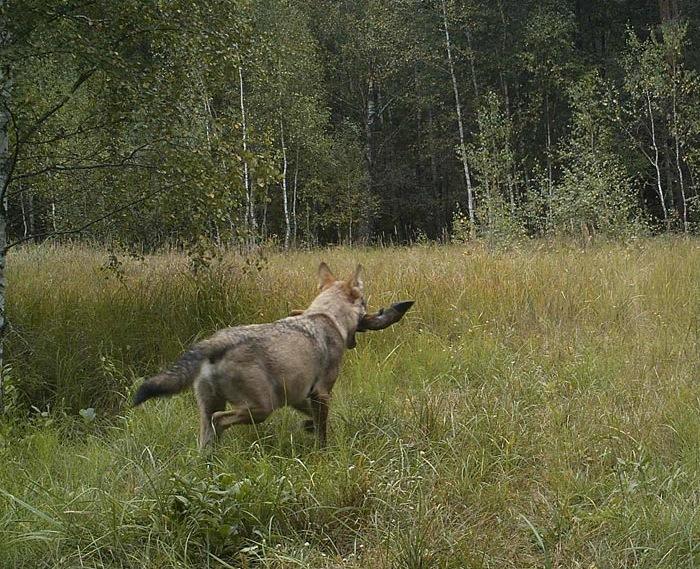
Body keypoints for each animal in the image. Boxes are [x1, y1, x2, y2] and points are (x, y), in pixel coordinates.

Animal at [133, 262, 410, 448]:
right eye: (365, 303)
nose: (378, 313)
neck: (326, 316)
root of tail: (216, 341)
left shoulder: (299, 395)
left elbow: (312, 419)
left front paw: (307, 427)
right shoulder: (321, 393)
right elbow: (322, 432)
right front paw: (323, 451)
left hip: (214, 410)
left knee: (207, 436)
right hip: (261, 408)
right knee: (219, 420)